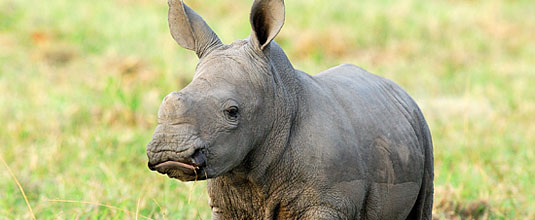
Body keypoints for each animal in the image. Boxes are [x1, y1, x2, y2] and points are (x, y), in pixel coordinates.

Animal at [147, 0, 436, 220]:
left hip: (421, 126)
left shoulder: (326, 203)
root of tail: (398, 89)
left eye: (232, 112)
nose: (169, 151)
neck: (279, 101)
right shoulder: (225, 204)